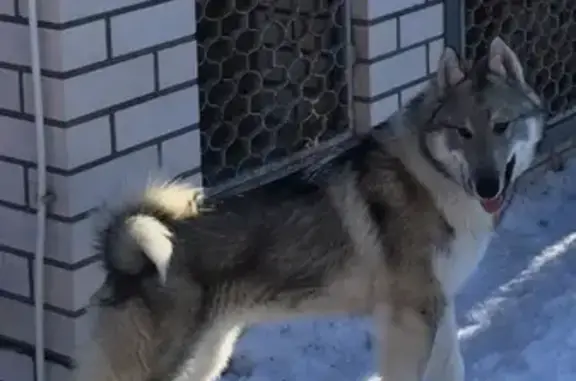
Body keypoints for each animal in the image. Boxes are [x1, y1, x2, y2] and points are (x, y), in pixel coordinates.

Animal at [75, 36, 544, 380]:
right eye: (462, 132)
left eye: (502, 126)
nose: (488, 184)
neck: (432, 177)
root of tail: (120, 253)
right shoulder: (412, 318)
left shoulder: (438, 310)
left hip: (208, 355)